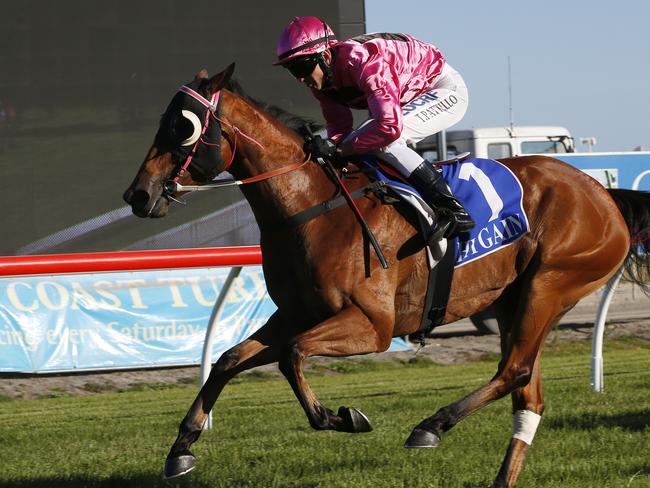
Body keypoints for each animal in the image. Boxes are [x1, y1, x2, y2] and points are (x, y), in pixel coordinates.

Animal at [121, 66, 648, 488]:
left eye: (183, 126)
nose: (138, 195)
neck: (310, 207)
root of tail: (603, 194)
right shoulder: (295, 315)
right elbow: (229, 359)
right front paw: (181, 449)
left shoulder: (372, 325)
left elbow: (292, 356)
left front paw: (340, 417)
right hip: (511, 301)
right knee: (528, 392)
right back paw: (496, 474)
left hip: (549, 285)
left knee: (513, 371)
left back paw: (431, 426)